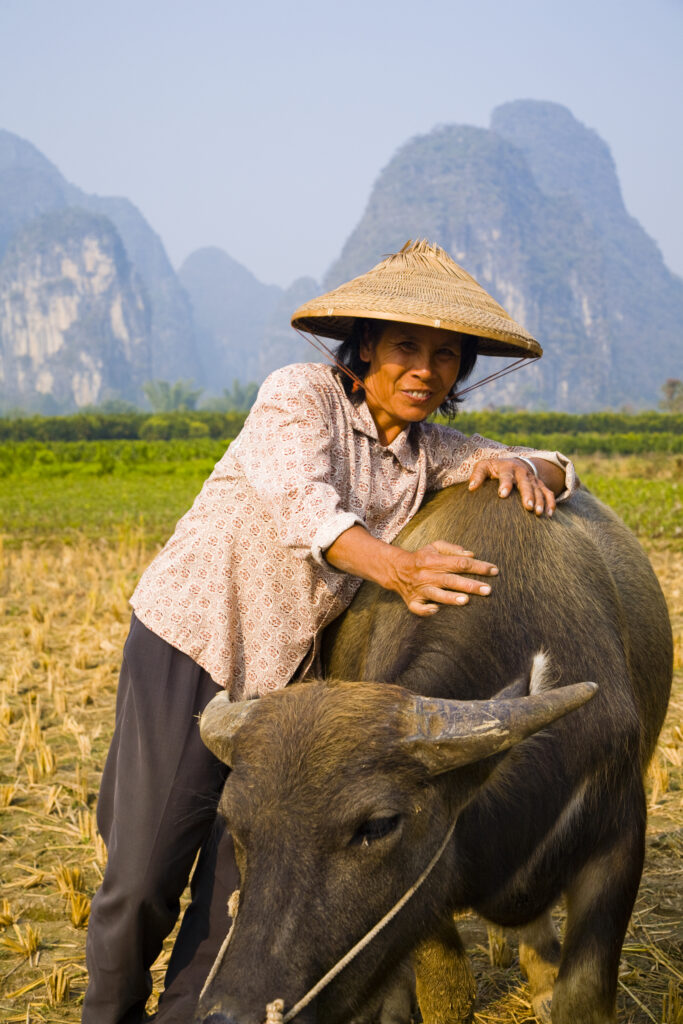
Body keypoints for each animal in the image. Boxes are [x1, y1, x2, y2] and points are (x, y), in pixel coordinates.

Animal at [196, 481, 672, 1024]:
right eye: (234, 823)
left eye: (378, 825)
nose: (230, 1012)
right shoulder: (425, 902)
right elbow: (449, 992)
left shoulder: (619, 838)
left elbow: (584, 994)